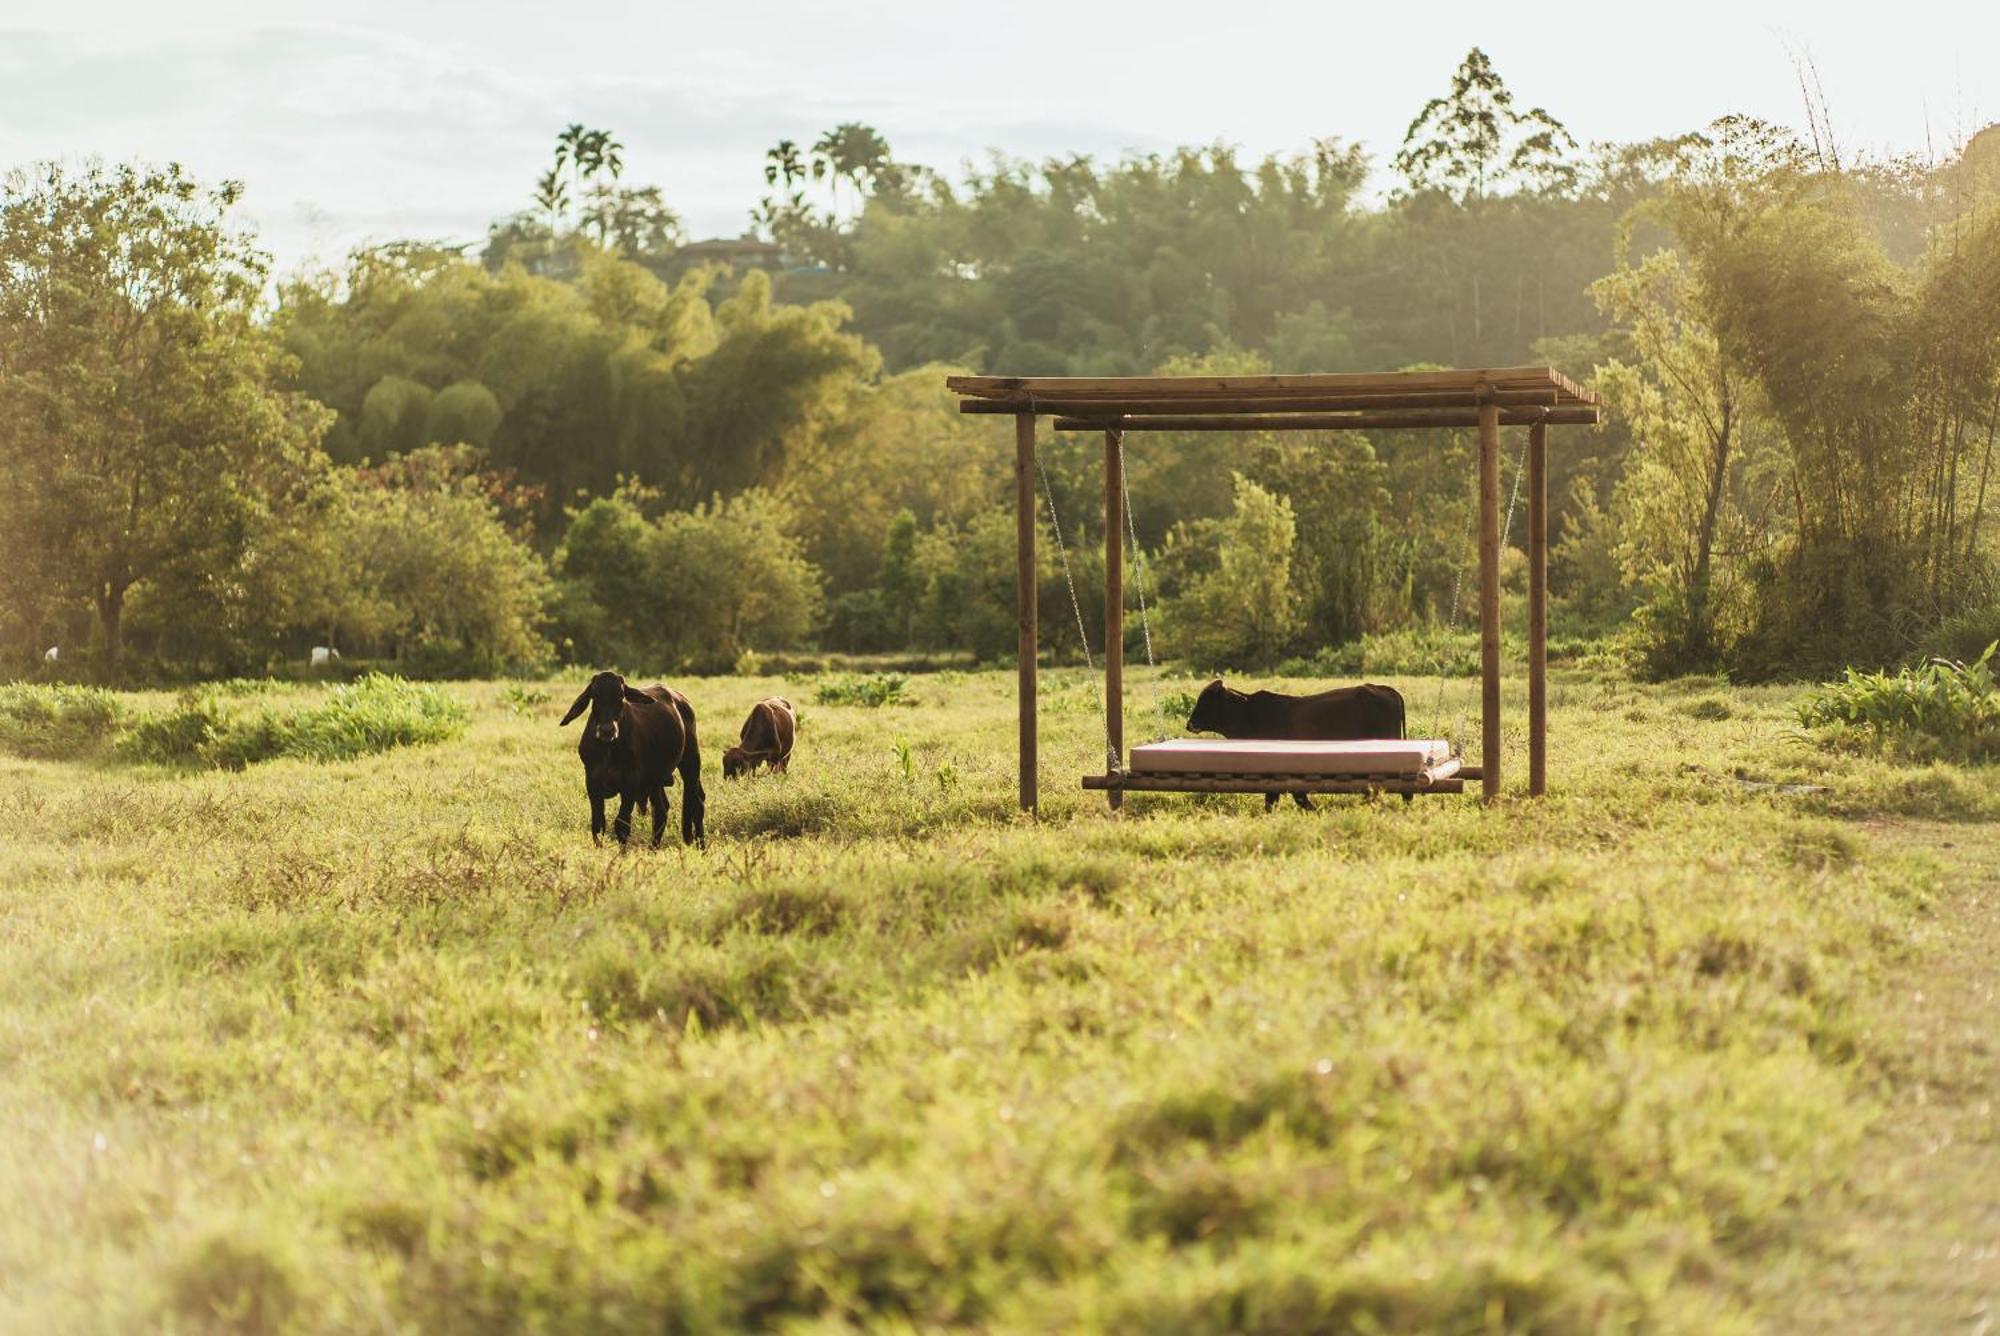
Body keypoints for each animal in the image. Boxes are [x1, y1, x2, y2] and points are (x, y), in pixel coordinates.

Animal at [560, 672, 708, 852]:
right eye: (595, 697)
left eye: (620, 697)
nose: (607, 730)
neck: (608, 750)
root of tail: (681, 700)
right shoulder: (592, 784)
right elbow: (598, 825)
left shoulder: (629, 785)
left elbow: (621, 824)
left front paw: (622, 854)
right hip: (655, 779)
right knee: (661, 809)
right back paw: (654, 847)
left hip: (691, 762)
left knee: (696, 803)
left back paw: (701, 846)